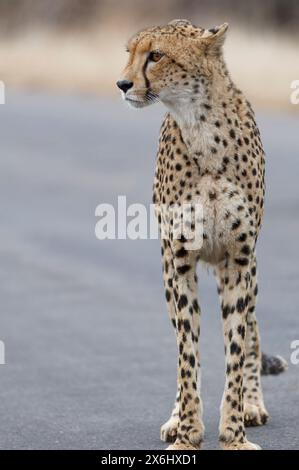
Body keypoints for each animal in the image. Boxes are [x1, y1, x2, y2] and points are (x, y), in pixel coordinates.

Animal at [116, 19, 286, 452]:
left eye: (156, 55)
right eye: (130, 53)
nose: (122, 83)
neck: (199, 125)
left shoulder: (238, 261)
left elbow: (236, 347)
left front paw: (235, 433)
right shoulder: (179, 261)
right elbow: (187, 352)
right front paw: (188, 432)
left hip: (250, 270)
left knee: (253, 332)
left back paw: (252, 404)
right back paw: (177, 416)